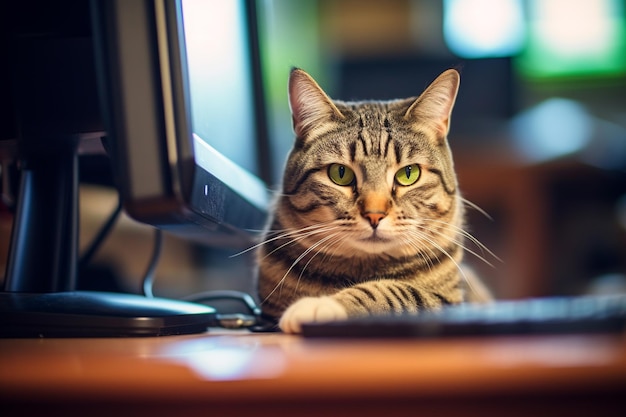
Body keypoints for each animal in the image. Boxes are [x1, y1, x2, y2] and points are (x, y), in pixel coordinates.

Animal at [256, 69, 490, 334]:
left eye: (408, 173)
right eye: (340, 173)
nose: (374, 214)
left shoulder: (450, 303)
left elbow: (394, 291)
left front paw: (322, 305)